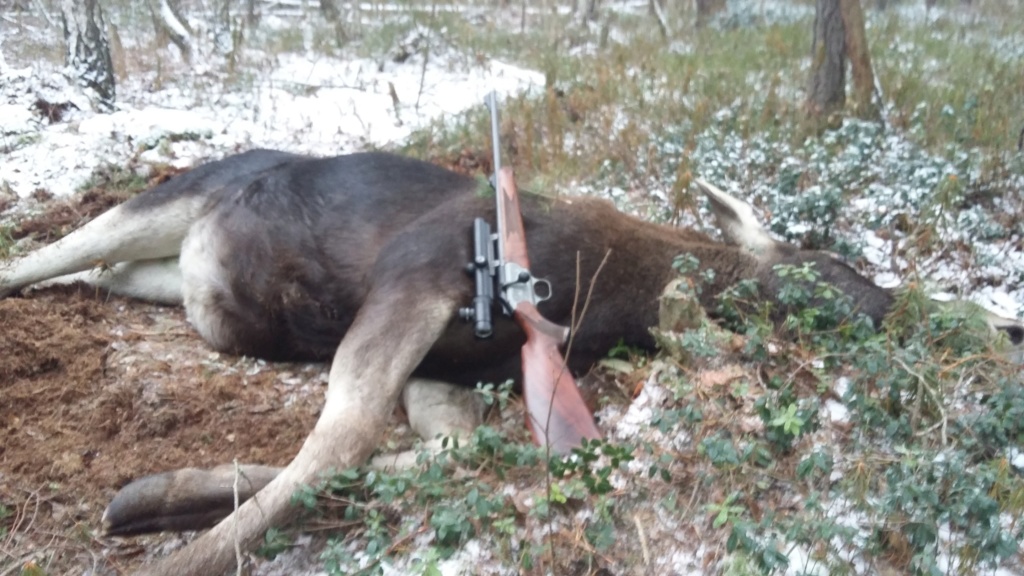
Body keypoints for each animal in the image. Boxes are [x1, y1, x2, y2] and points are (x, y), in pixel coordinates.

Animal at [0, 148, 1019, 573]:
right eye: (818, 277)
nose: (982, 324)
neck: (619, 294)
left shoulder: (454, 366)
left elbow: (432, 453)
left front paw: (159, 502)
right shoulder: (414, 279)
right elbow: (340, 445)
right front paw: (179, 547)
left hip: (173, 280)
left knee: (111, 276)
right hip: (170, 196)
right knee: (37, 258)